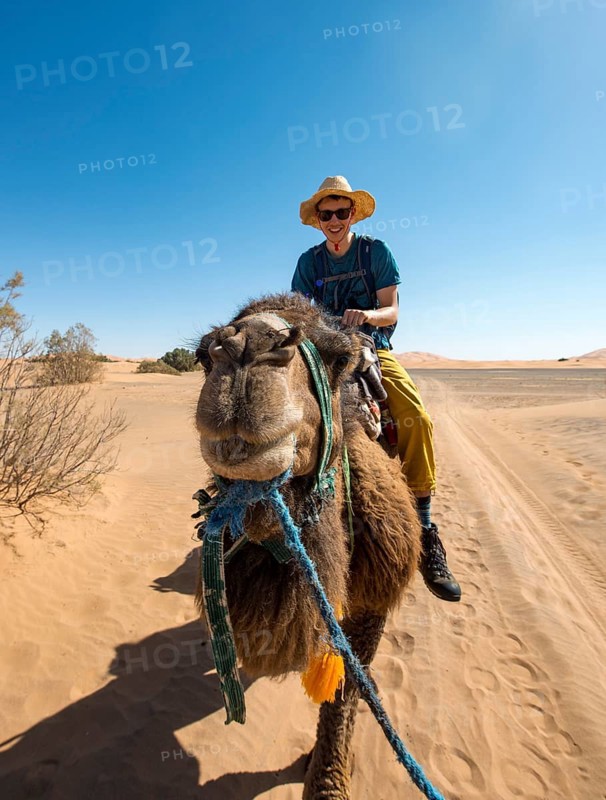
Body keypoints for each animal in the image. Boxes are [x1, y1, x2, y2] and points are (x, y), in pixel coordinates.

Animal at [194, 292, 421, 799]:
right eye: (201, 356)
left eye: (338, 359)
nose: (244, 348)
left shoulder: (374, 599)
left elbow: (347, 688)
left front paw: (327, 779)